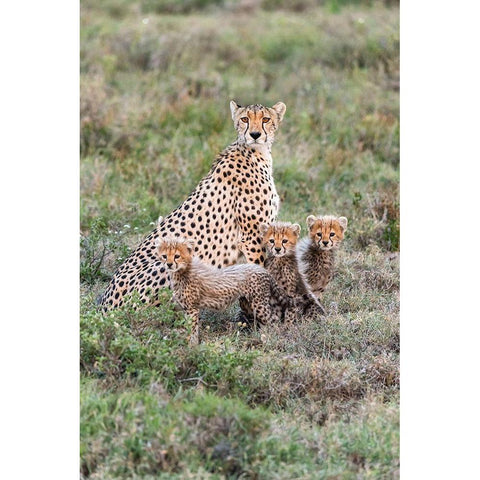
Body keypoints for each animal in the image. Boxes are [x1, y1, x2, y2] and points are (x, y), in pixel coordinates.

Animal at [97, 101, 284, 312]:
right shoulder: (252, 237)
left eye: (265, 119)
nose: (254, 134)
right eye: (245, 119)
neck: (256, 152)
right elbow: (259, 271)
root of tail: (104, 306)